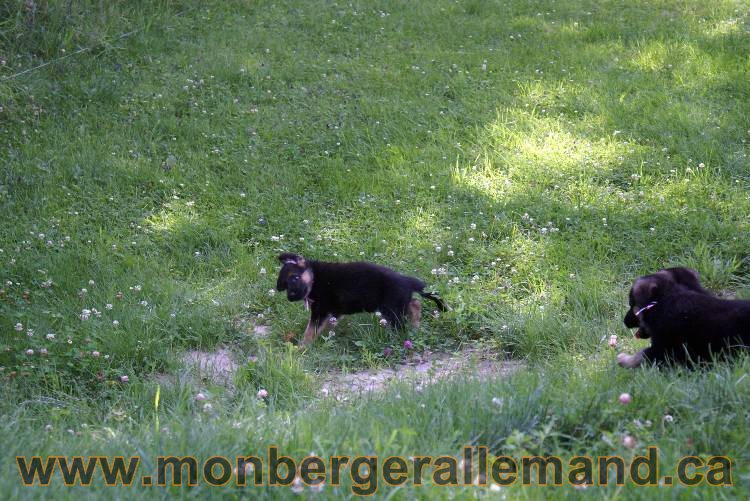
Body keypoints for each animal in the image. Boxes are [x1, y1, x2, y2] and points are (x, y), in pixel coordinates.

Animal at [280, 252, 450, 346]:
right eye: (284, 284)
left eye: (294, 278)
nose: (290, 297)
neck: (315, 278)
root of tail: (407, 280)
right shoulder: (333, 311)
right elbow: (325, 326)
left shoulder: (320, 310)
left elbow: (310, 330)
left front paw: (302, 348)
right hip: (396, 303)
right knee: (415, 303)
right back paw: (415, 325)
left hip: (391, 308)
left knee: (403, 320)